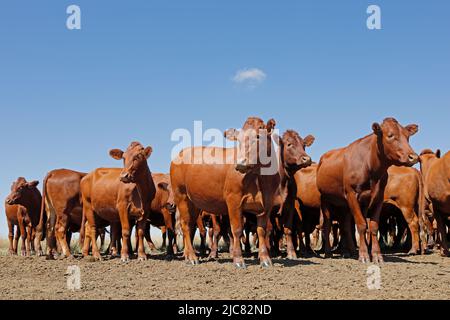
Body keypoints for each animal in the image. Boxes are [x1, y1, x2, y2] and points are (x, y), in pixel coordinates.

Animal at [171, 117, 312, 268]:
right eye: (238, 139)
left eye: (258, 136)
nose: (240, 163)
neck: (258, 177)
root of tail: (181, 153)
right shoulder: (234, 201)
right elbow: (237, 230)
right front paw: (238, 260)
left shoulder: (267, 205)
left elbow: (262, 230)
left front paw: (265, 259)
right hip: (182, 197)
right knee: (185, 226)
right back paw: (192, 257)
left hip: (195, 203)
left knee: (190, 226)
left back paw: (187, 255)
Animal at [316, 117, 418, 262]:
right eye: (390, 135)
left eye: (407, 136)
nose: (413, 157)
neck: (371, 168)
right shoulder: (352, 194)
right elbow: (361, 225)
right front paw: (364, 255)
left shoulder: (377, 198)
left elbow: (373, 227)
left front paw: (376, 255)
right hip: (326, 200)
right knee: (328, 224)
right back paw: (329, 252)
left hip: (346, 204)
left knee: (345, 226)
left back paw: (351, 251)